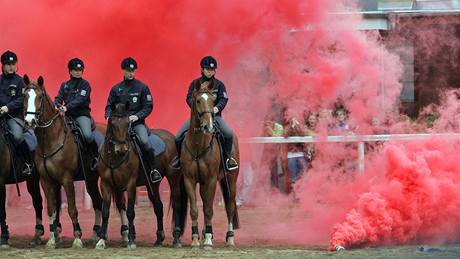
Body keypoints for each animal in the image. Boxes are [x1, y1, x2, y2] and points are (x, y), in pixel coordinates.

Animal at [22, 75, 103, 250]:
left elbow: (72, 209)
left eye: (40, 97)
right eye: (25, 95)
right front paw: (52, 240)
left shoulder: (67, 179)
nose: (30, 120)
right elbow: (51, 209)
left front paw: (77, 238)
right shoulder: (46, 180)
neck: (52, 138)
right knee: (97, 202)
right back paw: (96, 234)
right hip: (91, 180)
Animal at [95, 103, 187, 250]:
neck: (114, 158)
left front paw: (131, 240)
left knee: (177, 205)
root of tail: (173, 138)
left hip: (173, 179)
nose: (121, 149)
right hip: (152, 185)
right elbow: (105, 212)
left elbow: (130, 212)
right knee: (158, 207)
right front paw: (101, 240)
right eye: (113, 123)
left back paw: (176, 238)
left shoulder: (130, 184)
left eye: (128, 123)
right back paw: (159, 239)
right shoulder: (106, 184)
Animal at [181, 80, 241, 250]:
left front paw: (207, 240)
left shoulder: (212, 179)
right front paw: (195, 239)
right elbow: (195, 210)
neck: (198, 146)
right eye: (198, 100)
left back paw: (230, 238)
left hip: (230, 181)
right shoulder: (189, 180)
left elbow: (208, 209)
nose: (208, 126)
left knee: (230, 207)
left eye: (213, 101)